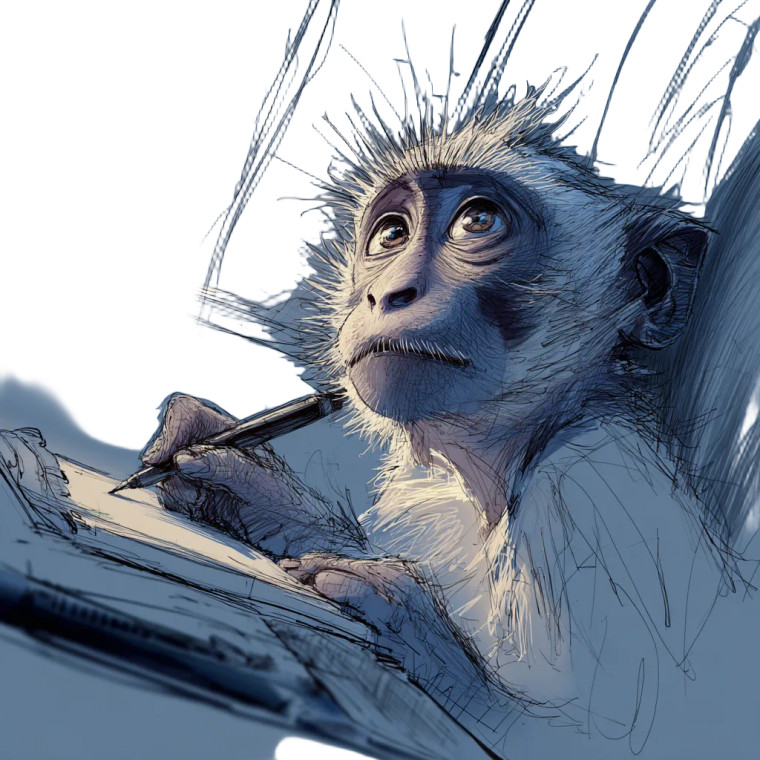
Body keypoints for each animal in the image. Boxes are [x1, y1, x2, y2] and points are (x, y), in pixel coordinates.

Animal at [140, 31, 760, 760]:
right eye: (390, 234)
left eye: (477, 221)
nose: (387, 292)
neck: (506, 468)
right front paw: (240, 482)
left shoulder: (596, 496)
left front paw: (395, 610)